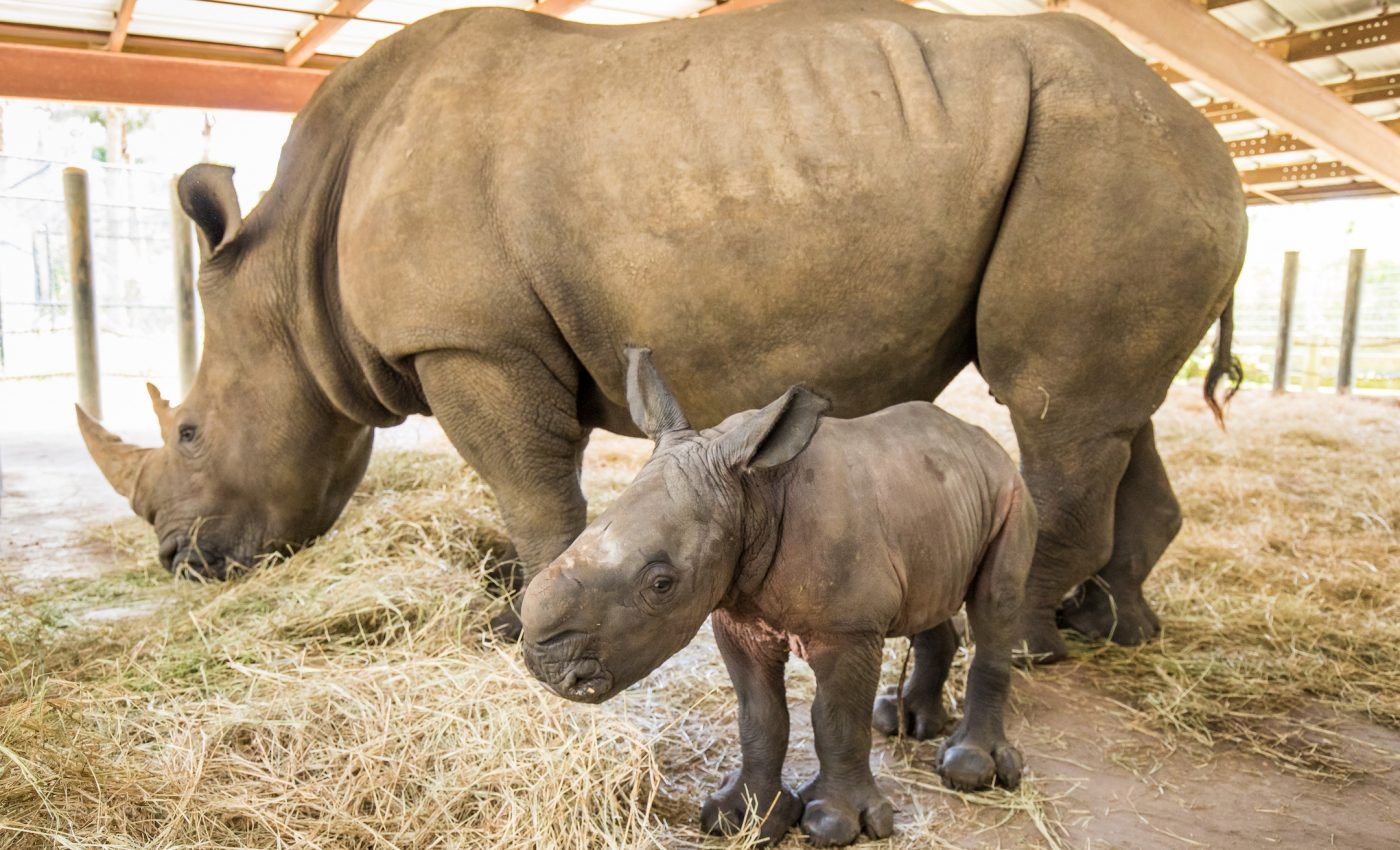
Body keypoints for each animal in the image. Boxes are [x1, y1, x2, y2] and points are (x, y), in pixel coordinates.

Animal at [77, 0, 1246, 660]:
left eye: (189, 433)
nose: (180, 563)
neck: (292, 277)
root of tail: (1214, 138)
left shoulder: (472, 339)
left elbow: (531, 488)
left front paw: (512, 627)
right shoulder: (479, 339)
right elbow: (534, 491)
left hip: (1108, 159)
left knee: (1053, 416)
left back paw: (1026, 650)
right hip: (1124, 165)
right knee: (1111, 416)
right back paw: (1112, 630)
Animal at [522, 347, 1035, 846]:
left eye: (661, 584)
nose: (545, 664)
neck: (751, 496)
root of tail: (981, 440)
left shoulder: (849, 631)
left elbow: (836, 719)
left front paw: (833, 826)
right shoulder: (737, 618)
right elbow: (760, 716)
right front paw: (741, 817)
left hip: (1010, 491)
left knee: (996, 605)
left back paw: (971, 770)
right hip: (936, 501)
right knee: (932, 598)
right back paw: (905, 721)